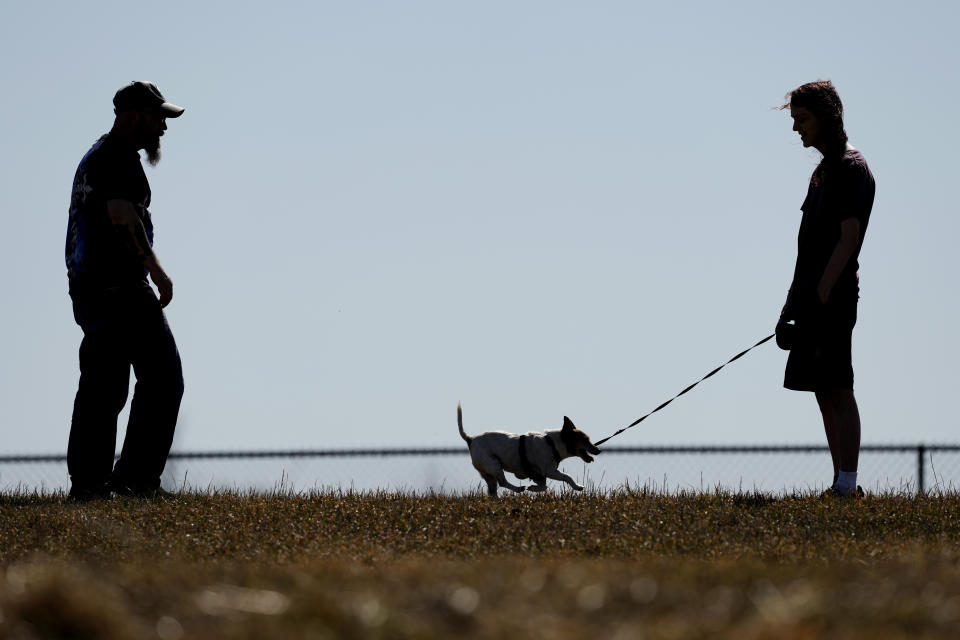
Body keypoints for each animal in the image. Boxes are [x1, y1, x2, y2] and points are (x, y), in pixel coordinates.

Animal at [458, 402, 600, 498]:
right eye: (586, 440)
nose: (598, 450)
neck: (552, 444)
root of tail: (471, 439)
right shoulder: (549, 471)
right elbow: (567, 477)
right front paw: (578, 486)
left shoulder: (538, 474)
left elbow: (543, 486)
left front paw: (533, 488)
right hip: (493, 464)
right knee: (502, 482)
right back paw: (518, 489)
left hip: (487, 473)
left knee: (492, 492)